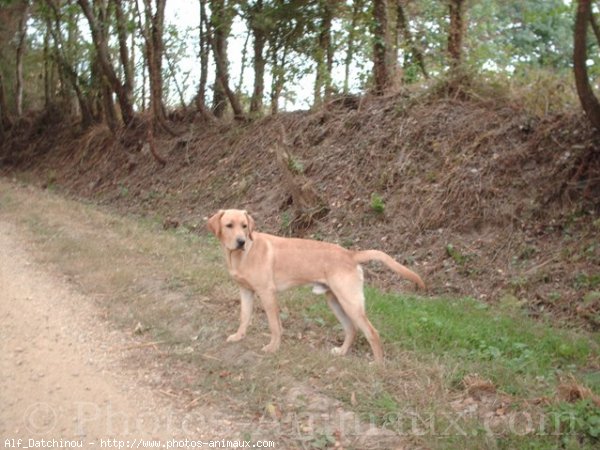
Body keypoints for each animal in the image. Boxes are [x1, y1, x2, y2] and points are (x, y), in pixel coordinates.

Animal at [209, 209, 424, 364]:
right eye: (229, 225)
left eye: (244, 226)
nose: (241, 241)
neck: (242, 255)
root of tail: (350, 254)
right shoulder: (245, 291)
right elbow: (244, 317)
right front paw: (238, 336)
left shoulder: (267, 293)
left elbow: (274, 326)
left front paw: (273, 348)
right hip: (335, 302)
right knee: (351, 329)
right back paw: (342, 352)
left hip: (351, 303)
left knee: (372, 332)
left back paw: (377, 365)